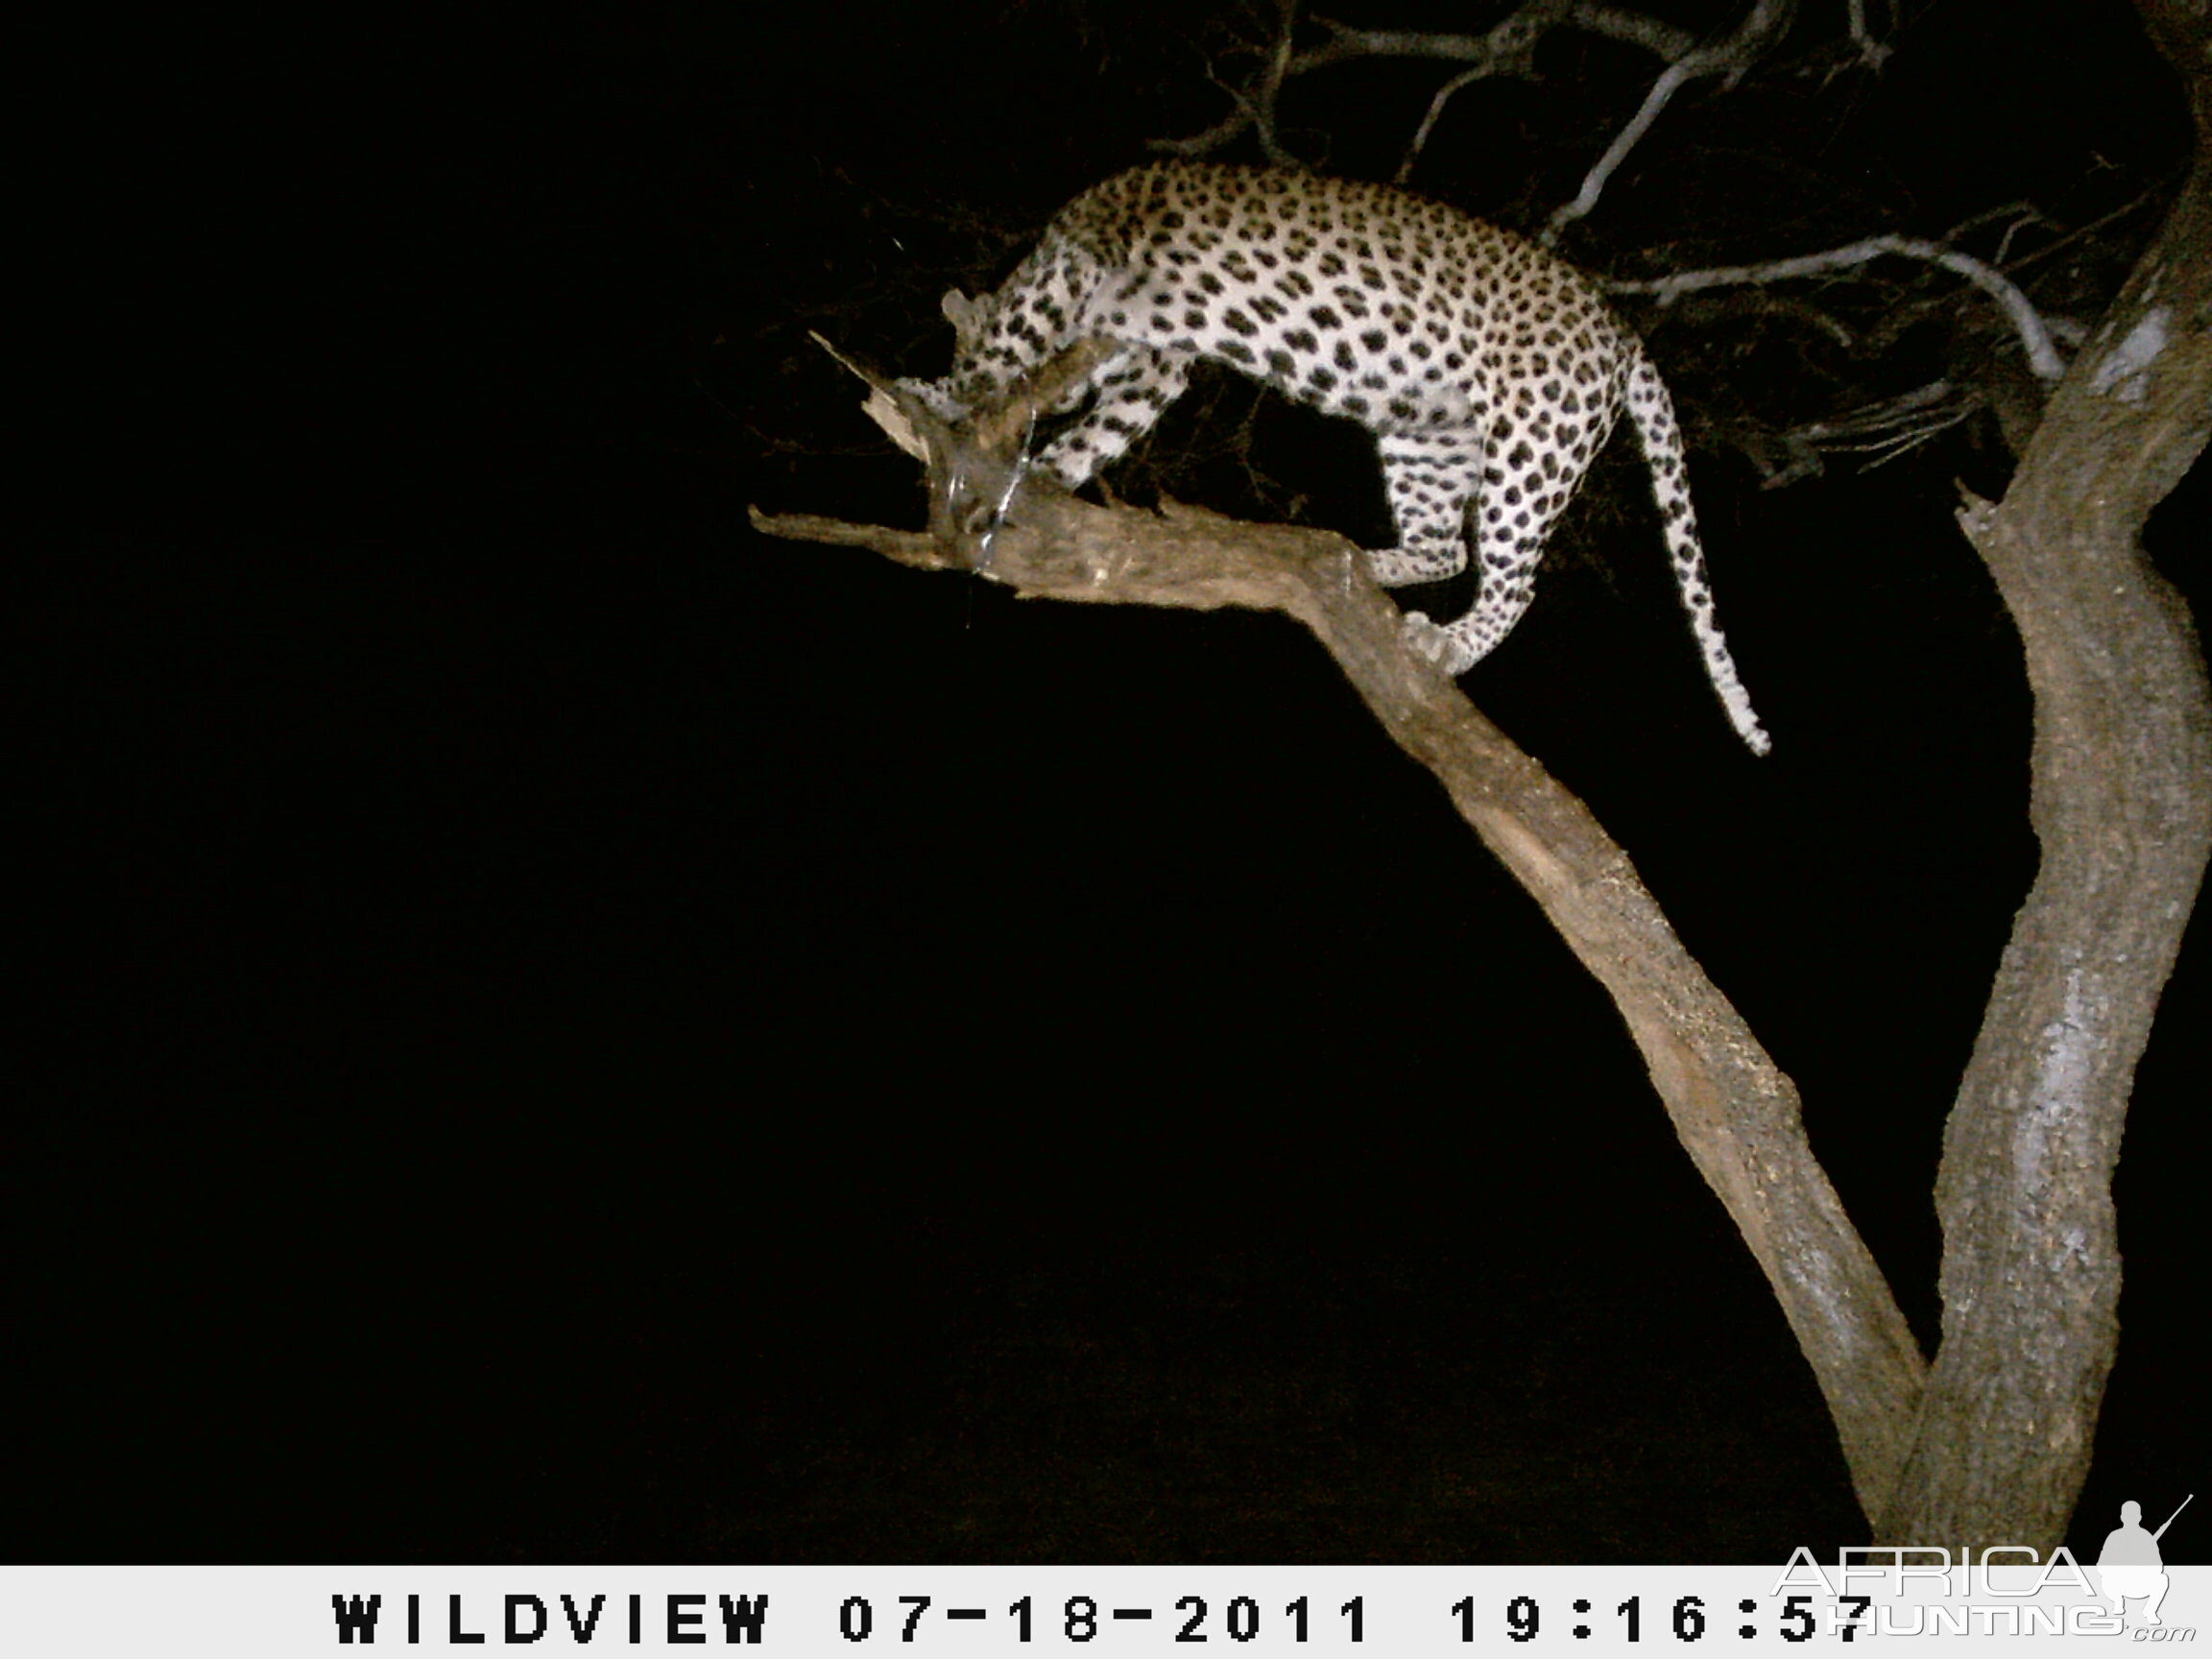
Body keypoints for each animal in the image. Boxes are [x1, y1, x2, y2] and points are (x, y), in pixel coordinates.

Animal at [889, 158, 1769, 756]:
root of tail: (1622, 333)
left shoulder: (1078, 271)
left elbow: (1005, 353)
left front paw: (936, 393)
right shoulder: (1153, 361)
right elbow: (1095, 431)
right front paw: (1038, 478)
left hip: (1533, 443)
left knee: (1515, 580)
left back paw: (1450, 642)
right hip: (1428, 436)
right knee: (1444, 546)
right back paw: (1361, 560)